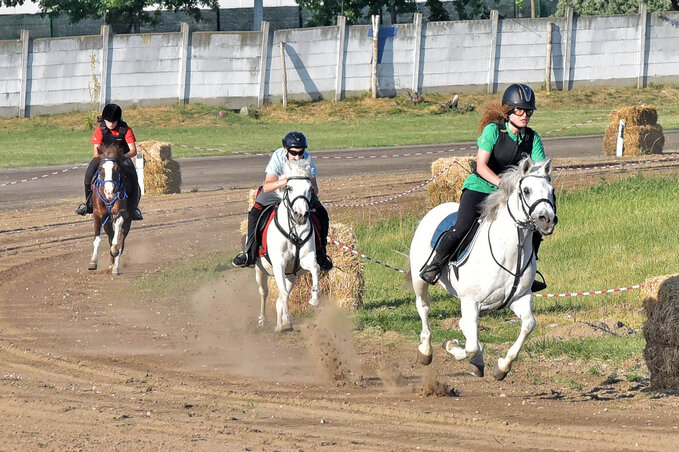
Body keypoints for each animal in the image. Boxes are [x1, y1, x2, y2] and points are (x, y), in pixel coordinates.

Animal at [87, 145, 133, 274]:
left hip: (128, 221)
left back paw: (116, 267)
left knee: (121, 241)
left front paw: (114, 250)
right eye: (101, 169)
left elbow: (117, 238)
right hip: (106, 222)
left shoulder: (120, 213)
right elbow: (97, 238)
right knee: (110, 236)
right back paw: (111, 264)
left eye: (117, 169)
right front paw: (93, 262)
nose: (109, 192)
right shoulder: (97, 215)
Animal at [255, 160, 322, 332]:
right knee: (264, 292)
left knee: (279, 297)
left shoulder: (305, 260)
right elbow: (283, 294)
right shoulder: (279, 263)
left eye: (310, 189)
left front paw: (314, 298)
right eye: (289, 187)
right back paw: (263, 320)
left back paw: (281, 324)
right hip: (260, 270)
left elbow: (315, 267)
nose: (301, 215)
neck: (295, 230)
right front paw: (288, 321)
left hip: (291, 275)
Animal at [410, 157, 556, 380]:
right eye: (527, 190)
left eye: (551, 190)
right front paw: (452, 346)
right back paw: (425, 351)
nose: (547, 219)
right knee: (424, 307)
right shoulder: (471, 301)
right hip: (420, 280)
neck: (511, 251)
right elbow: (470, 346)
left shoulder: (519, 298)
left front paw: (502, 367)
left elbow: (528, 325)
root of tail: (437, 207)